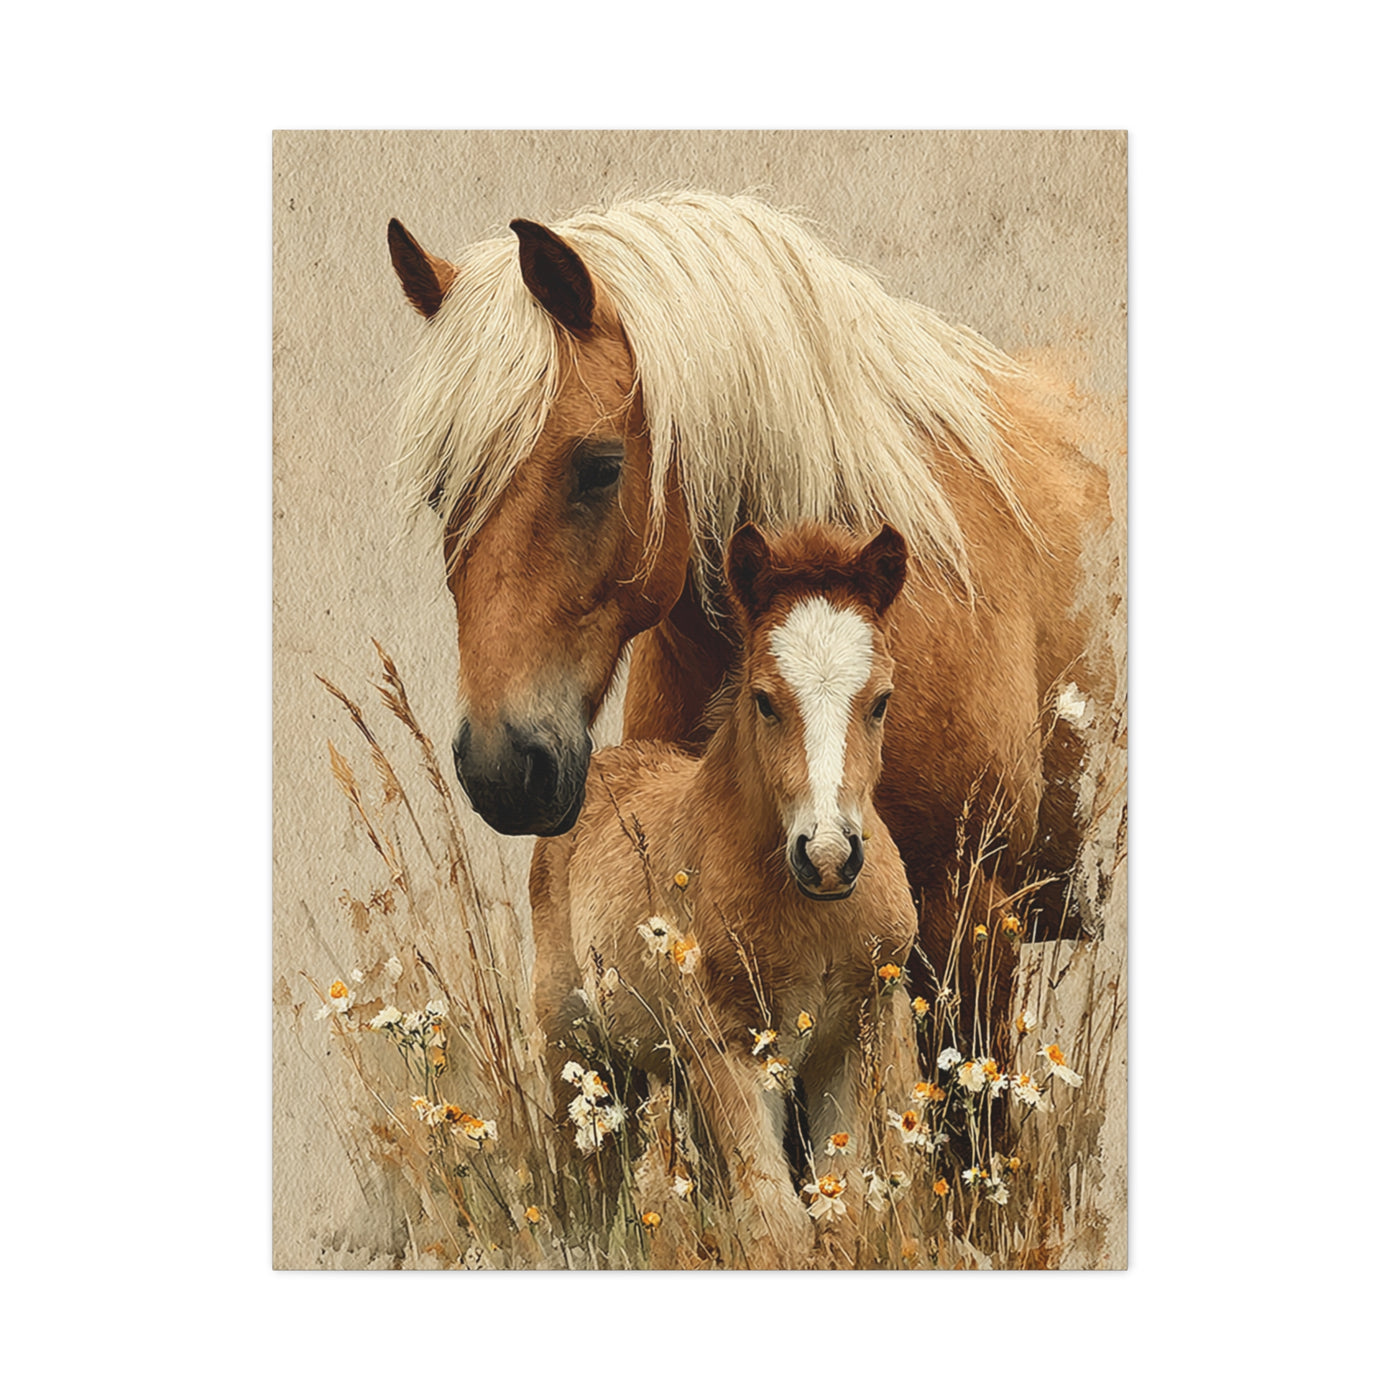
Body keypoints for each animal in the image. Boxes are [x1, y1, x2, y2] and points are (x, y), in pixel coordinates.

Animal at [529, 522, 917, 1264]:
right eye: (764, 699)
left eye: (882, 701)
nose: (829, 858)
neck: (812, 920)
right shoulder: (725, 1048)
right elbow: (776, 1225)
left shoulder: (853, 1041)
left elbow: (840, 1214)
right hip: (574, 1044)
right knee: (591, 1177)